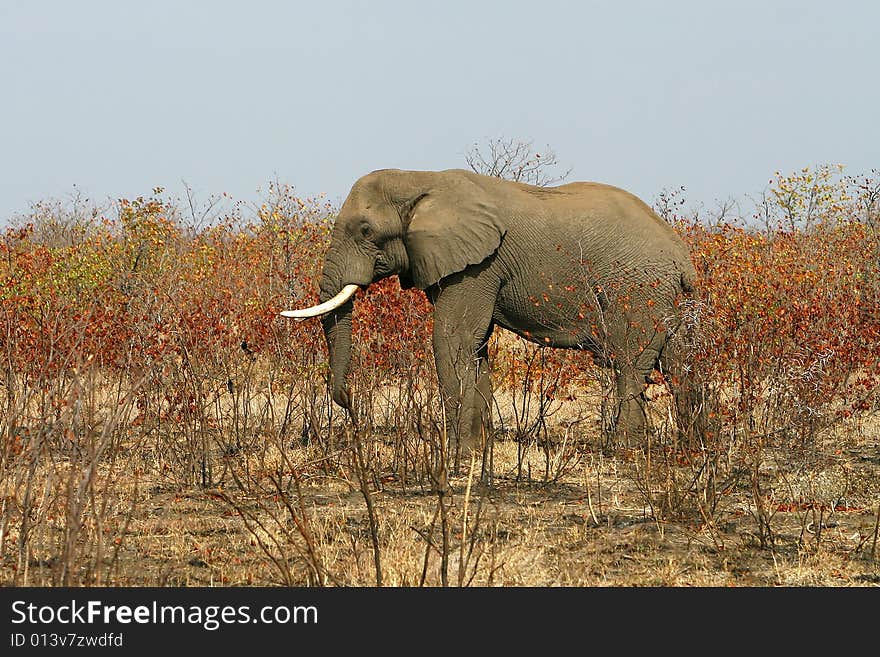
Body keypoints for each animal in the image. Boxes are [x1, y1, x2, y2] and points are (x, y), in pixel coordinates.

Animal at [286, 167, 696, 458]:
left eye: (366, 230)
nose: (349, 404)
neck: (422, 179)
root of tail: (682, 256)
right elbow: (475, 345)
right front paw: (477, 451)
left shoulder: (478, 266)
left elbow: (452, 340)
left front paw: (457, 455)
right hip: (665, 296)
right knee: (679, 363)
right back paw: (692, 443)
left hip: (637, 288)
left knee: (629, 363)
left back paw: (626, 449)